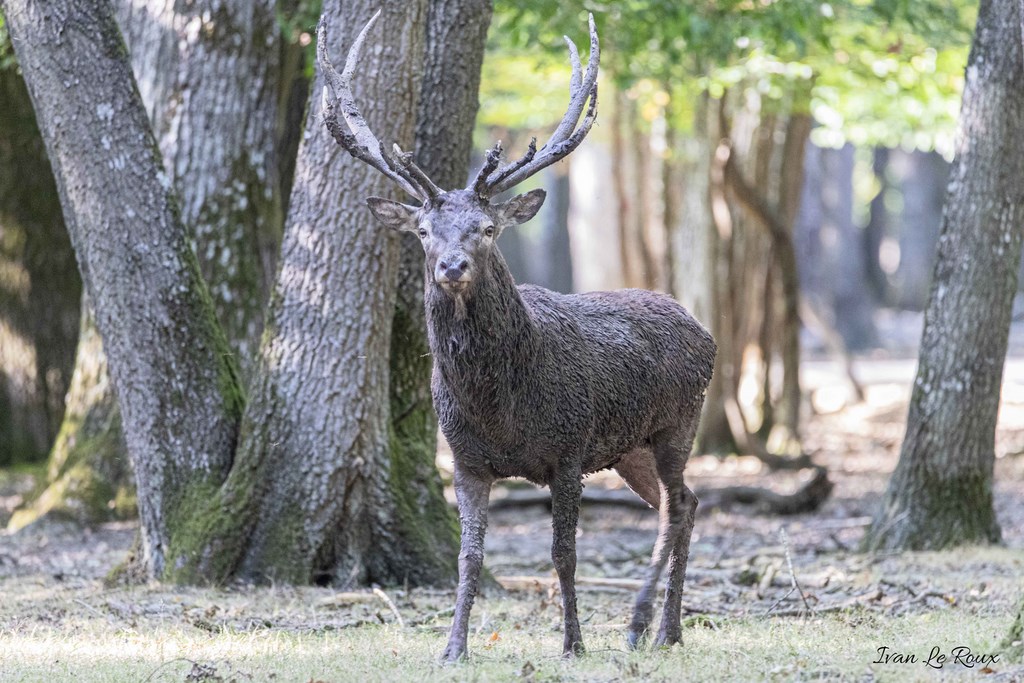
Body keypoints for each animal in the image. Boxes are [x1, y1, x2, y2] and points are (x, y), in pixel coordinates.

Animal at [316, 11, 716, 662]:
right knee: (683, 503)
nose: (451, 266)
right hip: (630, 447)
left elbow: (564, 553)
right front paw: (453, 648)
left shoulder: (570, 447)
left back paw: (645, 626)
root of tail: (703, 329)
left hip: (677, 422)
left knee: (677, 507)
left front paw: (573, 644)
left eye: (485, 228)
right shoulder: (465, 459)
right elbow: (469, 556)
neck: (500, 406)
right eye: (423, 230)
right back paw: (669, 629)